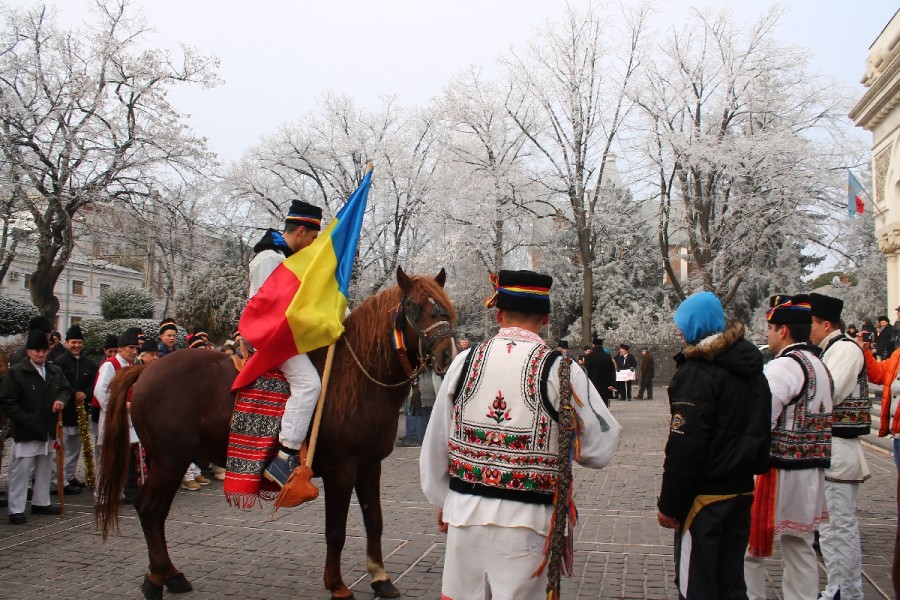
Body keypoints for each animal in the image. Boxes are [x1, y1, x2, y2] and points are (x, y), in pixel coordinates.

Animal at [96, 268, 458, 600]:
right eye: (412, 306)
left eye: (445, 306)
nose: (448, 354)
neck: (356, 379)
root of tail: (146, 369)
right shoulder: (342, 471)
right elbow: (336, 530)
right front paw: (337, 585)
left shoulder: (370, 467)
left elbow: (375, 520)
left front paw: (380, 577)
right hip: (168, 461)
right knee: (148, 507)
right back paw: (155, 579)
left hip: (172, 461)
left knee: (157, 512)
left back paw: (170, 574)